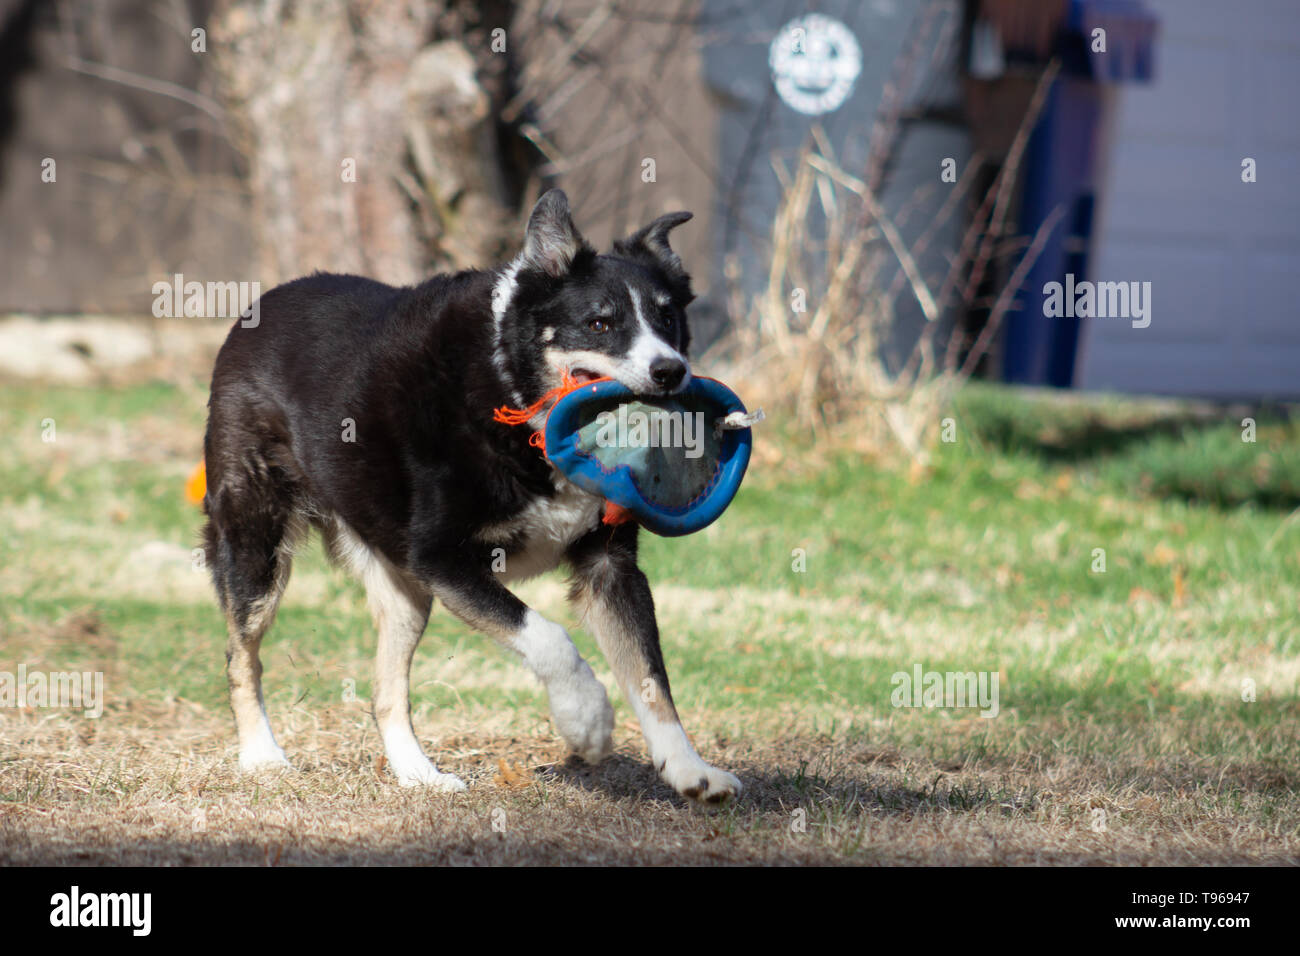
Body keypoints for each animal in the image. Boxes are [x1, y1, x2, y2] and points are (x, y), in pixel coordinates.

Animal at [202, 191, 743, 806]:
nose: (670, 371)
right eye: (600, 322)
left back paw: (419, 774)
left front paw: (691, 770)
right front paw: (586, 718)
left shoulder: (609, 564)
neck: (515, 392)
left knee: (386, 691)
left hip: (405, 589)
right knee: (241, 654)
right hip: (257, 543)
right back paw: (262, 756)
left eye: (667, 317)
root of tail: (258, 307)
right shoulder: (442, 556)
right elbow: (547, 635)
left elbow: (651, 675)